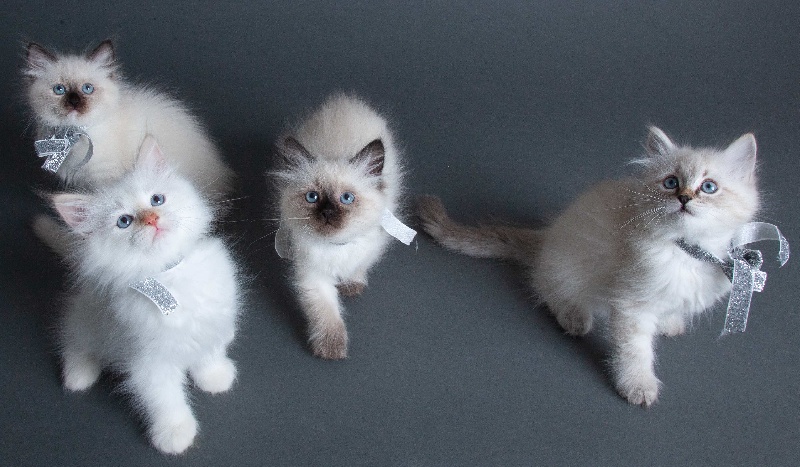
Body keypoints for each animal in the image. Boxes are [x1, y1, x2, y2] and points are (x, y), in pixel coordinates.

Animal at [52, 134, 241, 454]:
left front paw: (214, 377)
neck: (171, 279)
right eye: (124, 221)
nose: (152, 218)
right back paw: (79, 376)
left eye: (156, 199)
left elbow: (208, 353)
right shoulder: (149, 364)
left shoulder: (209, 325)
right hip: (85, 320)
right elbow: (165, 401)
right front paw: (175, 434)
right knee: (73, 341)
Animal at [272, 93, 406, 360]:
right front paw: (331, 348)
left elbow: (358, 268)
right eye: (312, 197)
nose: (327, 213)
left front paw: (351, 285)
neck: (336, 247)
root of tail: (345, 102)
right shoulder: (313, 276)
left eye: (346, 198)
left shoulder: (370, 248)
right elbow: (326, 313)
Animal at [418, 127, 764, 406]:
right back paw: (575, 319)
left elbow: (668, 310)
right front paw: (638, 387)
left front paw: (669, 322)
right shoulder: (630, 305)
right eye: (670, 182)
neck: (686, 251)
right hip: (567, 269)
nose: (684, 198)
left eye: (709, 187)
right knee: (546, 288)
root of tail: (547, 237)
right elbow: (635, 352)